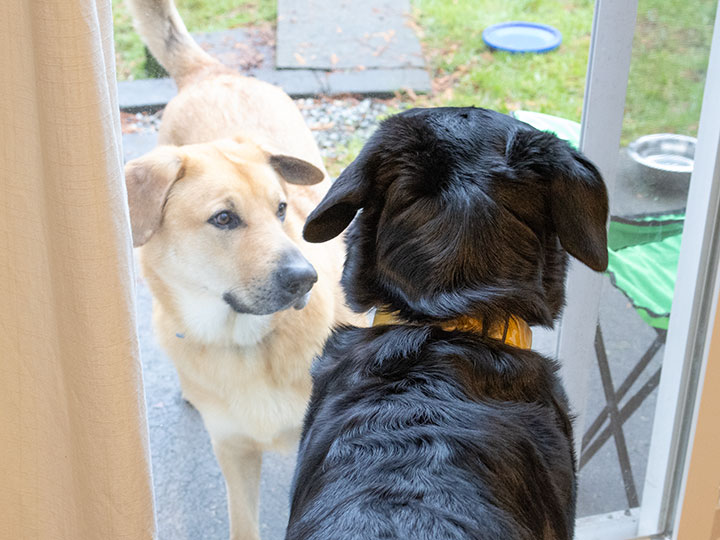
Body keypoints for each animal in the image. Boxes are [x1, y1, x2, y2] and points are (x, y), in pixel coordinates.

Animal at [124, 2, 360, 536]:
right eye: (224, 219)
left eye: (280, 209)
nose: (305, 279)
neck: (247, 345)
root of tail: (214, 72)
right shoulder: (233, 451)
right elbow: (243, 523)